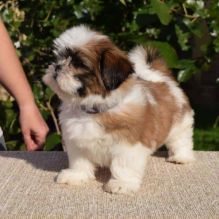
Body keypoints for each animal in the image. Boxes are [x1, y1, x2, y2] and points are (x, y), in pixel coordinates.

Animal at [42, 24, 193, 194]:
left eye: (78, 64)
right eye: (58, 58)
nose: (57, 67)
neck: (93, 110)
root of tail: (161, 78)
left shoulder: (128, 144)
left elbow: (123, 165)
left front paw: (122, 183)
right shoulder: (77, 141)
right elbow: (79, 160)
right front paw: (76, 175)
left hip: (180, 123)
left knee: (181, 139)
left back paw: (181, 157)